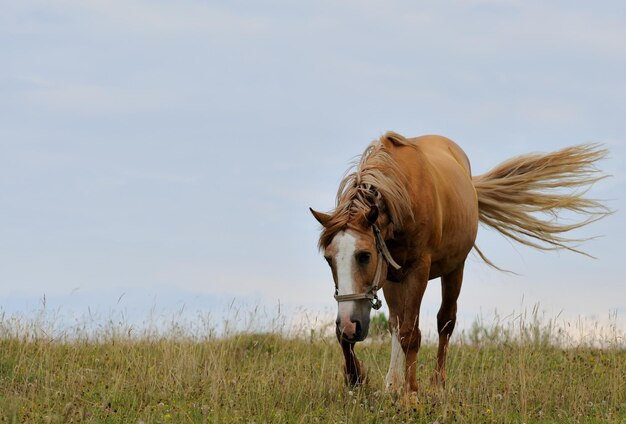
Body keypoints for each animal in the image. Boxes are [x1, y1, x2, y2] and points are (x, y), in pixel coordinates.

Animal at [310, 132, 608, 394]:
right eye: (328, 258)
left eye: (364, 255)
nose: (350, 325)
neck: (402, 195)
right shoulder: (386, 275)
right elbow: (364, 334)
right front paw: (357, 379)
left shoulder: (418, 270)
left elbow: (411, 333)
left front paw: (411, 392)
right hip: (392, 280)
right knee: (395, 322)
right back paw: (392, 383)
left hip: (454, 270)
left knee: (445, 322)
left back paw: (437, 386)